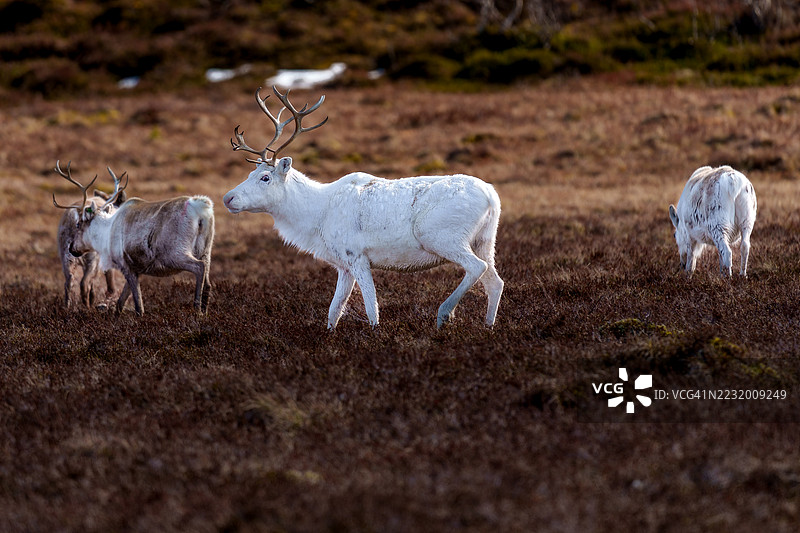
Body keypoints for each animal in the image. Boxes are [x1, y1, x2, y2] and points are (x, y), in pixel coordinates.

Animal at [52, 161, 215, 315]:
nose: (71, 248)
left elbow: (138, 306)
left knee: (199, 267)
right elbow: (120, 303)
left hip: (175, 253)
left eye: (78, 224)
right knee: (207, 282)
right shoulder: (137, 268)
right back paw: (204, 313)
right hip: (206, 251)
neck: (106, 232)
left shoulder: (126, 266)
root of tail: (201, 211)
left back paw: (197, 310)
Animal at [223, 86, 504, 329]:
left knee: (476, 267)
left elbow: (372, 309)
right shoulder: (343, 265)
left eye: (265, 177)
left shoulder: (357, 257)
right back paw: (488, 327)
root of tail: (492, 196)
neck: (316, 216)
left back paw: (445, 313)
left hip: (441, 237)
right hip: (485, 239)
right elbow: (334, 311)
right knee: (495, 281)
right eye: (250, 172)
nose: (228, 198)